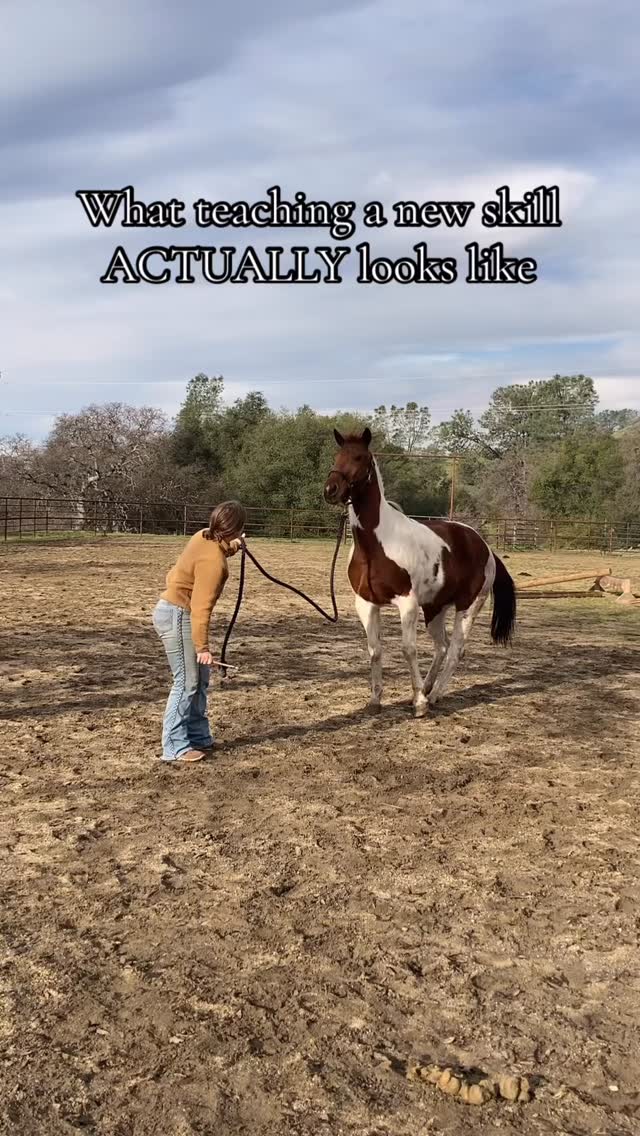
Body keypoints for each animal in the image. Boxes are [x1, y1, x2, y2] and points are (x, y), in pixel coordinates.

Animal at [324, 427, 517, 718]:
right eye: (337, 456)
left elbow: (408, 650)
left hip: (468, 607)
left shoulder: (408, 603)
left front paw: (420, 705)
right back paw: (426, 688)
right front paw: (375, 700)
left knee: (456, 650)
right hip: (435, 608)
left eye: (359, 457)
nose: (330, 489)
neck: (378, 544)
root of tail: (485, 547)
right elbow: (375, 650)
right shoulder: (366, 603)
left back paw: (433, 695)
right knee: (442, 646)